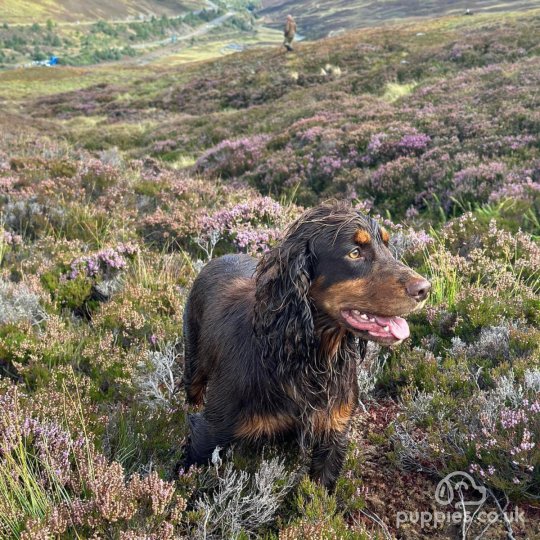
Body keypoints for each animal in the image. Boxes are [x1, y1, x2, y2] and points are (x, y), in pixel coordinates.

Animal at [181, 202, 430, 490]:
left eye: (388, 247)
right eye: (355, 252)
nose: (425, 288)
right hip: (193, 362)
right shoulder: (209, 433)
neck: (306, 358)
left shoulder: (333, 432)